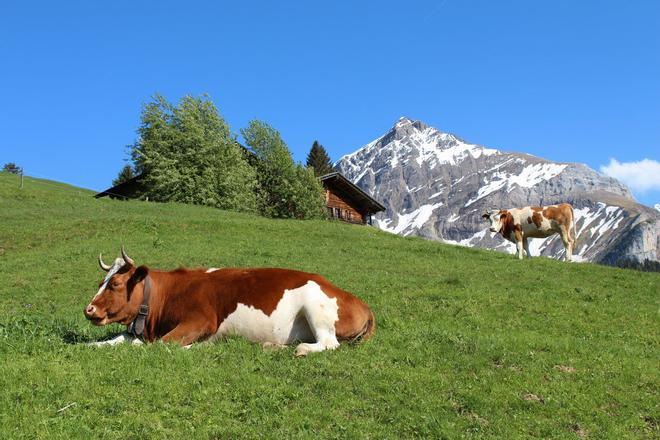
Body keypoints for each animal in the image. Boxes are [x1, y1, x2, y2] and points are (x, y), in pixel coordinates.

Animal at [83, 249, 374, 356]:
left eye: (115, 283)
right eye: (100, 282)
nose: (89, 309)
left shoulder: (200, 320)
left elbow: (164, 345)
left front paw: (197, 347)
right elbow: (114, 340)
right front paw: (89, 344)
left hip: (316, 307)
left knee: (329, 343)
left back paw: (302, 349)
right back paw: (271, 346)